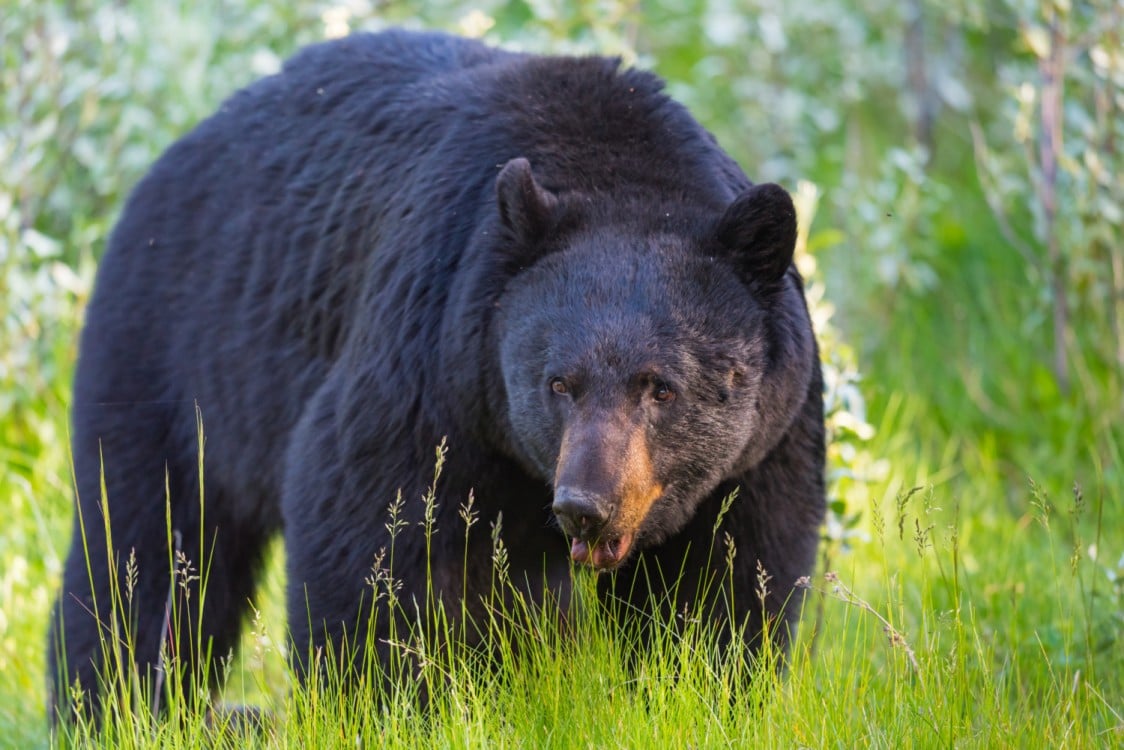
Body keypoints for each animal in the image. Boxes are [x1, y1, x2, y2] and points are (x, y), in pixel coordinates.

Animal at [50, 29, 827, 719]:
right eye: (558, 383)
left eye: (660, 387)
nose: (586, 503)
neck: (621, 174)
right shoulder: (431, 362)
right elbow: (370, 538)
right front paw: (387, 705)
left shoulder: (765, 441)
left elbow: (727, 581)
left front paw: (704, 690)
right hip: (177, 355)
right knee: (148, 545)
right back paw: (112, 706)